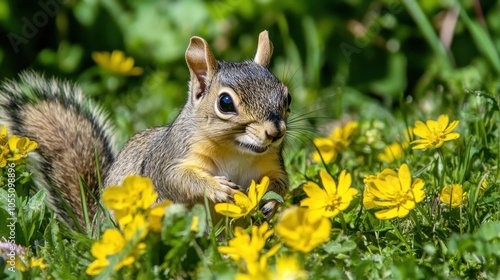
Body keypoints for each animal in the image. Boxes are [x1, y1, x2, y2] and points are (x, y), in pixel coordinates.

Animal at [0, 31, 292, 230]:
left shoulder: (271, 163)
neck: (237, 151)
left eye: (287, 97)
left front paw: (271, 201)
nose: (275, 132)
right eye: (225, 103)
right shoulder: (168, 157)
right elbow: (173, 179)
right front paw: (216, 188)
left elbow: (281, 185)